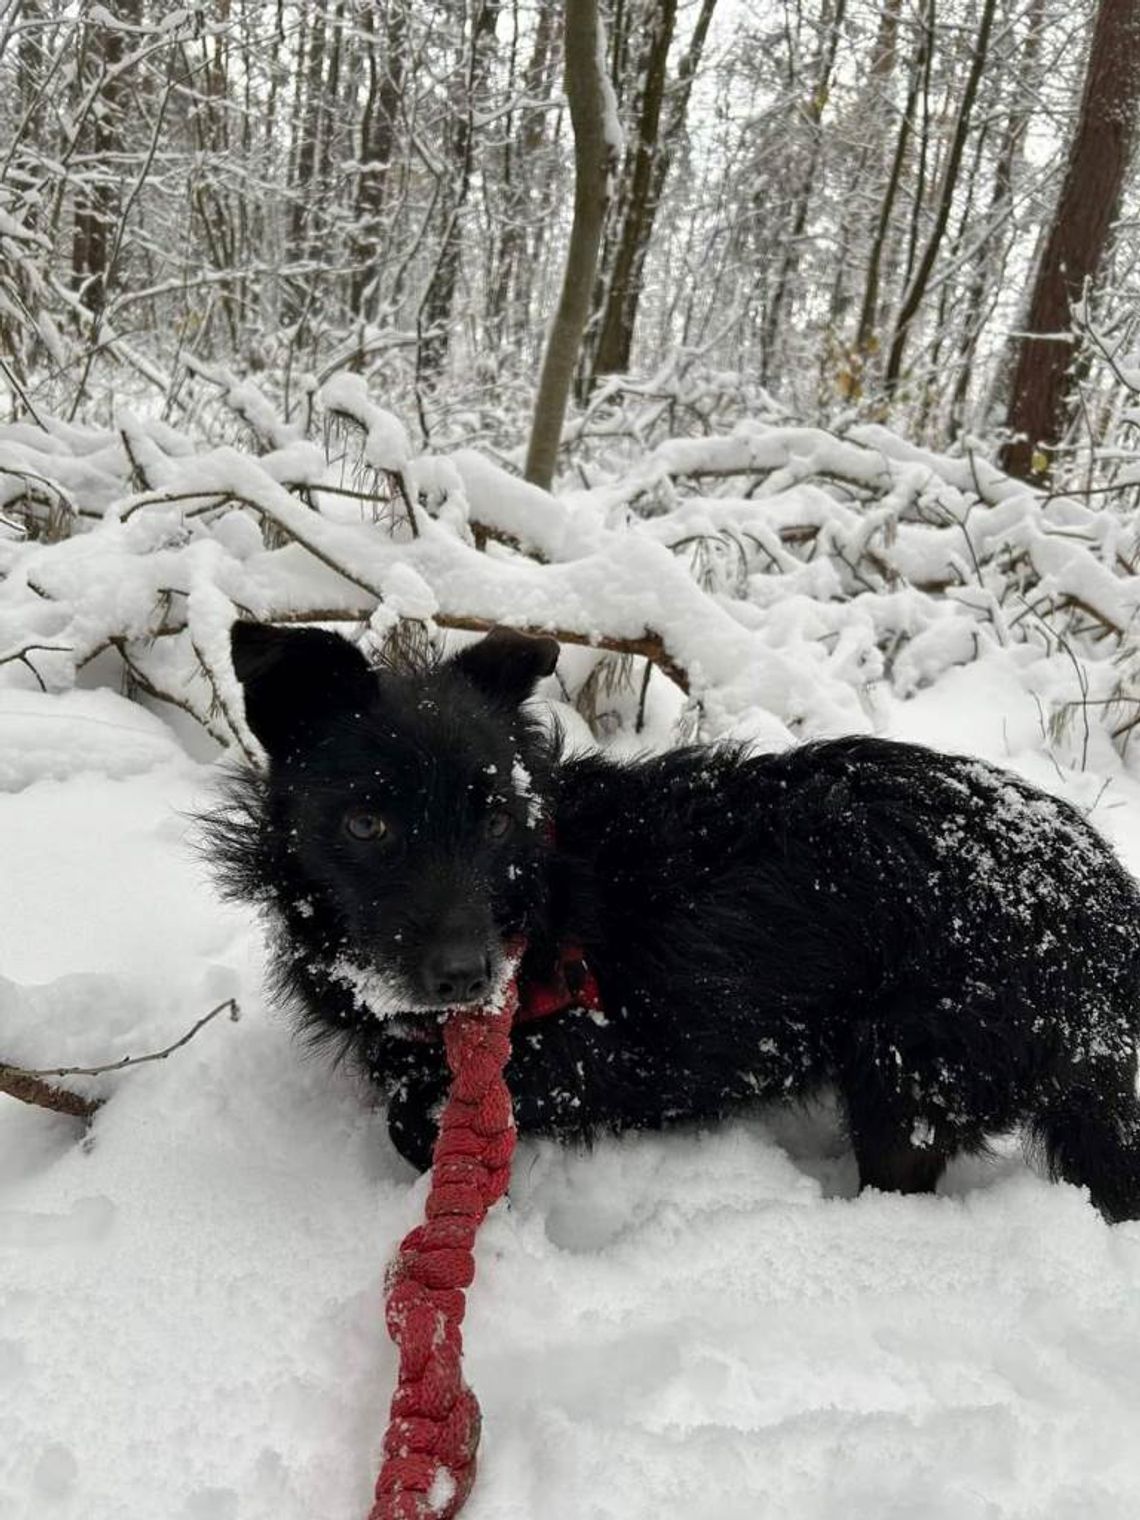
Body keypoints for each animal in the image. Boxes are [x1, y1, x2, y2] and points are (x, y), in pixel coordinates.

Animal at [205, 617, 1140, 1222]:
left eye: (496, 818)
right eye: (367, 824)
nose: (469, 977)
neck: (541, 888)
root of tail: (1106, 907)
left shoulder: (590, 1056)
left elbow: (420, 1111)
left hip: (912, 1073)